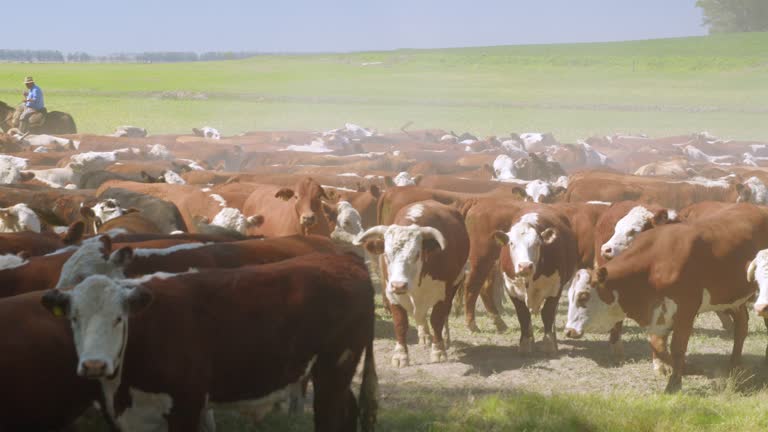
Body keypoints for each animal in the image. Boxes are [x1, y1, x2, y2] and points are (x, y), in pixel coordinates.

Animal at [356, 201, 472, 366]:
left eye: (417, 254)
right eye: (387, 255)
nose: (399, 285)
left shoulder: (443, 292)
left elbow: (437, 319)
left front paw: (438, 350)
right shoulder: (391, 293)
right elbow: (400, 323)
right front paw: (400, 355)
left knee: (444, 314)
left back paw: (444, 338)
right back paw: (424, 335)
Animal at [560, 202, 764, 392]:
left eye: (584, 296)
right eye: (570, 296)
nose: (569, 331)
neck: (657, 261)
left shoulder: (685, 310)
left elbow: (677, 348)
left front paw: (674, 383)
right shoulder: (658, 312)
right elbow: (658, 345)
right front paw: (687, 369)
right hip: (731, 299)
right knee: (741, 325)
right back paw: (734, 363)